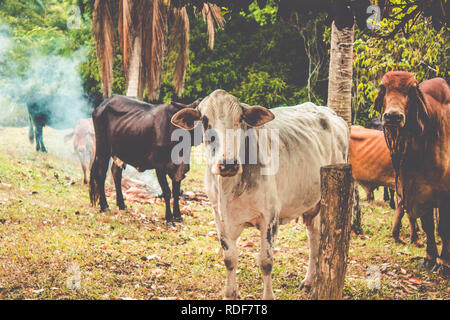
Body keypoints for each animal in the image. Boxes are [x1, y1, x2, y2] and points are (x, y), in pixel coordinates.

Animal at [89, 96, 201, 224]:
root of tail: (105, 102)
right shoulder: (160, 166)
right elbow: (167, 192)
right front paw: (169, 219)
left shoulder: (179, 168)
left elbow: (176, 191)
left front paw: (178, 216)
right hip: (103, 150)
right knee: (101, 175)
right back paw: (104, 206)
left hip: (119, 151)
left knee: (116, 173)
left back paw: (122, 205)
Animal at [171, 90, 350, 300]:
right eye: (205, 121)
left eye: (241, 119)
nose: (228, 164)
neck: (229, 189)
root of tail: (332, 114)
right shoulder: (219, 217)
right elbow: (229, 259)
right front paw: (230, 294)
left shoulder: (270, 217)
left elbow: (266, 262)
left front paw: (268, 296)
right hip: (311, 205)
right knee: (313, 238)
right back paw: (308, 281)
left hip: (326, 198)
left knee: (318, 241)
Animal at [374, 71, 448, 274]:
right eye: (384, 87)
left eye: (411, 90)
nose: (393, 117)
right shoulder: (421, 191)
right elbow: (428, 225)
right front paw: (430, 258)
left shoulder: (444, 193)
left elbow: (443, 227)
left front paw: (443, 263)